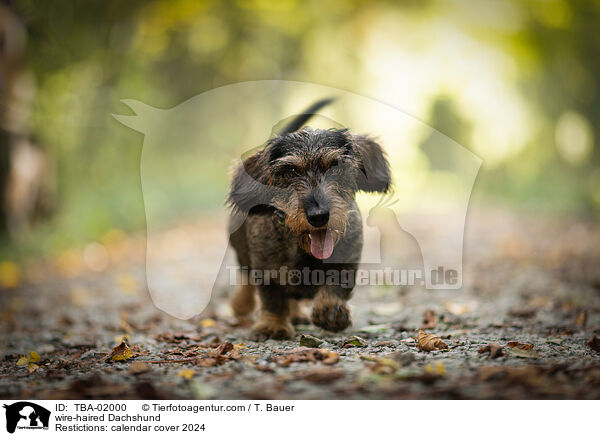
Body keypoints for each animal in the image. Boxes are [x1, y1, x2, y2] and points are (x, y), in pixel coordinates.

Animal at [227, 99, 392, 340]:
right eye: (291, 171)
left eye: (335, 166)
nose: (319, 216)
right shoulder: (266, 268)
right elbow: (272, 298)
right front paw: (273, 325)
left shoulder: (347, 259)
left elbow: (337, 283)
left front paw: (331, 310)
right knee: (246, 278)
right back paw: (242, 304)